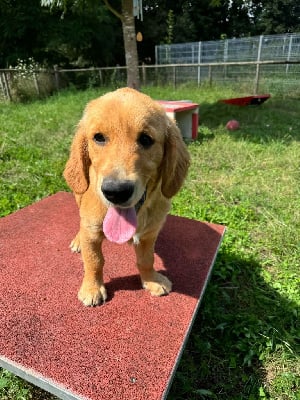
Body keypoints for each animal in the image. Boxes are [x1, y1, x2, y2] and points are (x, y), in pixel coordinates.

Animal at [63, 87, 190, 306]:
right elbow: (94, 260)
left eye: (146, 139)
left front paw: (151, 280)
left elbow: (147, 259)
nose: (116, 191)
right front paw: (92, 288)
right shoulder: (92, 232)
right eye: (99, 138)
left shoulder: (149, 234)